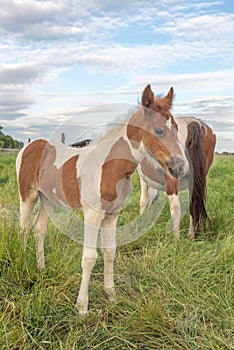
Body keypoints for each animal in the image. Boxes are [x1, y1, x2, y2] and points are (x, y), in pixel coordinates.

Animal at [16, 85, 188, 314]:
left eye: (177, 128)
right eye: (159, 130)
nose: (181, 167)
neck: (110, 167)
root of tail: (30, 145)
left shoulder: (112, 215)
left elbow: (109, 252)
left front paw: (111, 295)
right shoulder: (93, 214)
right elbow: (89, 258)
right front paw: (82, 306)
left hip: (48, 199)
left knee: (39, 230)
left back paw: (41, 268)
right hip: (27, 195)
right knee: (23, 228)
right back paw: (22, 262)